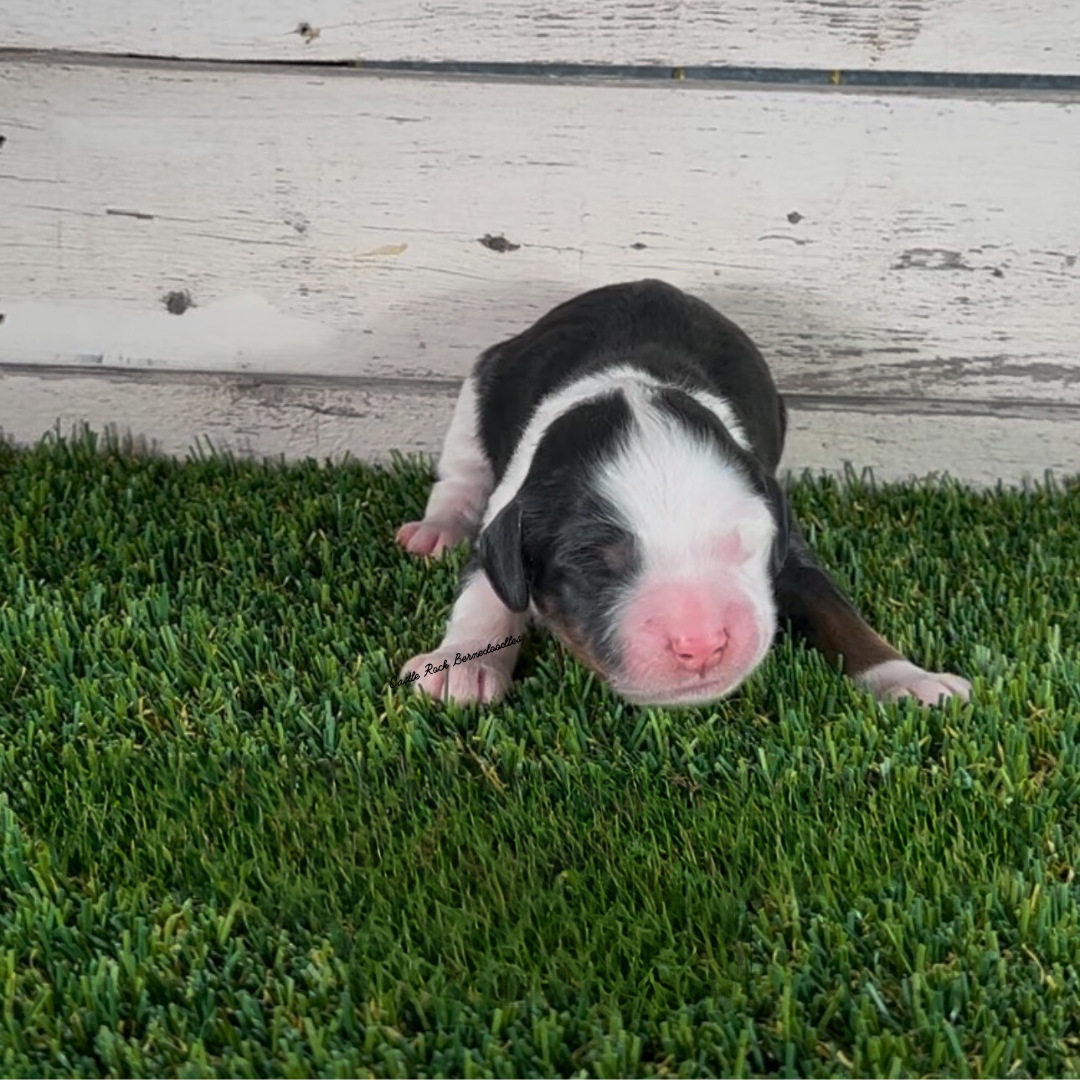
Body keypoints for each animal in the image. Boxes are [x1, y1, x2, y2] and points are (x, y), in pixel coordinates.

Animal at [395, 276, 972, 708]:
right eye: (593, 562)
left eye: (743, 544)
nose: (702, 645)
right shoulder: (508, 513)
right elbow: (484, 590)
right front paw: (465, 664)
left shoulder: (788, 543)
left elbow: (838, 611)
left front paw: (909, 679)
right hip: (480, 385)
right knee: (460, 474)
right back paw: (435, 530)